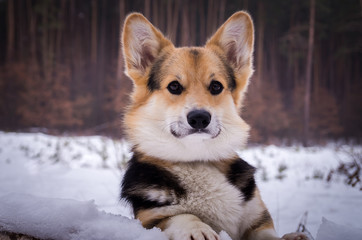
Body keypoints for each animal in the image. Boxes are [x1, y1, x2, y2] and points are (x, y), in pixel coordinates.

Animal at [120, 11, 306, 240]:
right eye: (174, 86)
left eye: (216, 86)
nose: (199, 118)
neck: (196, 158)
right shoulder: (150, 220)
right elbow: (181, 216)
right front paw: (198, 229)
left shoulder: (258, 222)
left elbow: (269, 236)